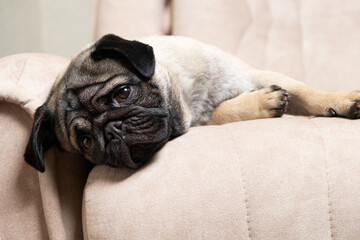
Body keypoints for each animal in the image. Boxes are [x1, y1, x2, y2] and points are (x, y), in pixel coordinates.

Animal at [24, 34, 360, 172]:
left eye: (122, 93)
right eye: (86, 142)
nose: (113, 129)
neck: (186, 93)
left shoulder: (254, 73)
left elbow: (305, 92)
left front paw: (342, 100)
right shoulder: (202, 119)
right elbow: (225, 112)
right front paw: (263, 101)